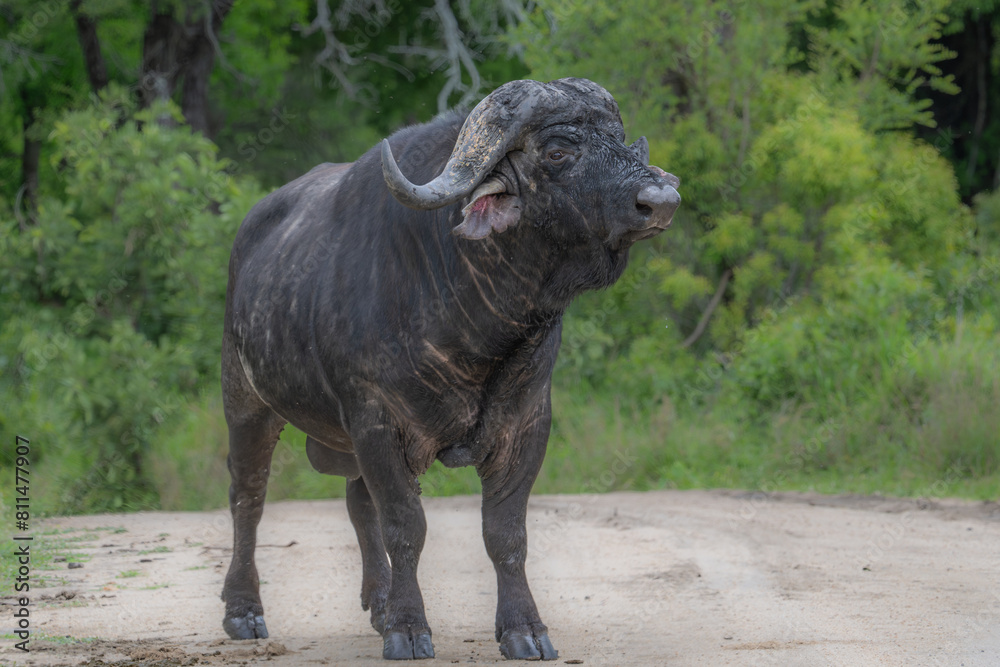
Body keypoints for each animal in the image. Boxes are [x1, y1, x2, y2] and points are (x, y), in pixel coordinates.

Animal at [220, 77, 680, 660]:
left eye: (619, 140)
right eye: (557, 151)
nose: (661, 200)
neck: (472, 323)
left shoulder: (527, 424)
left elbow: (505, 533)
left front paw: (524, 629)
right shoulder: (376, 422)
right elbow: (405, 527)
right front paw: (408, 628)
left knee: (356, 501)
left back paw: (378, 602)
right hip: (246, 401)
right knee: (249, 498)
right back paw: (244, 610)